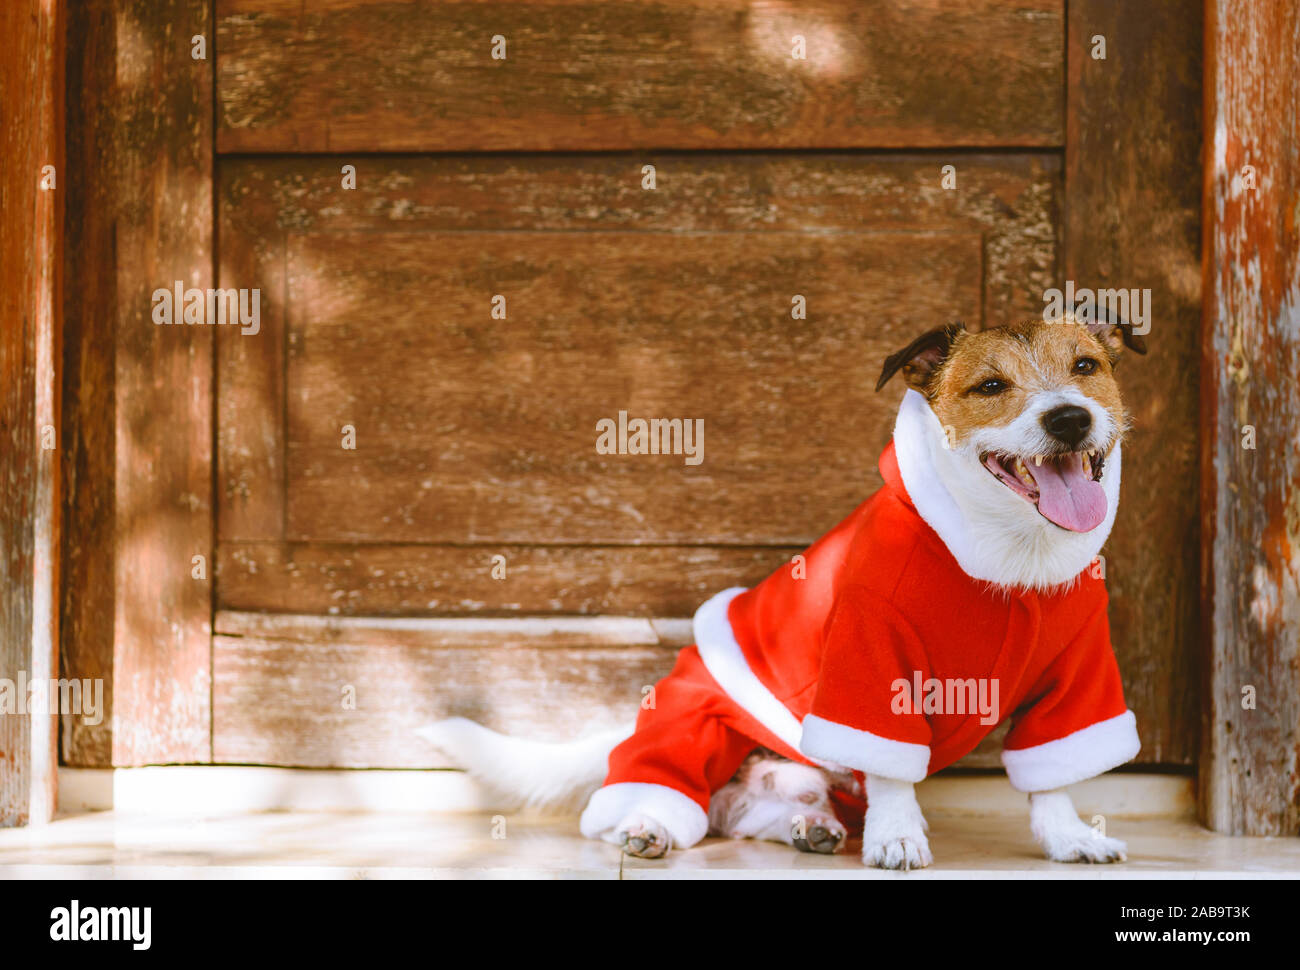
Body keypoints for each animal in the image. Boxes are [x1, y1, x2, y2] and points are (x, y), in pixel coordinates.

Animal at [418, 313, 1149, 863]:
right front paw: (897, 837)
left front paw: (1068, 837)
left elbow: (1053, 774)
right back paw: (648, 825)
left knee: (751, 812)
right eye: (991, 385)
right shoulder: (869, 664)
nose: (1068, 419)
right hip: (696, 726)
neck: (1013, 562)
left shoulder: (1078, 677)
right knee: (673, 794)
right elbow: (891, 769)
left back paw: (809, 827)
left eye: (1086, 367)